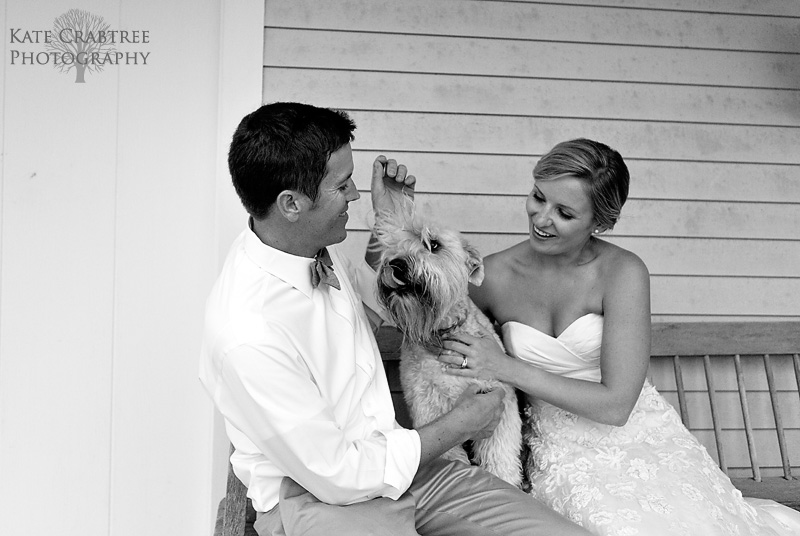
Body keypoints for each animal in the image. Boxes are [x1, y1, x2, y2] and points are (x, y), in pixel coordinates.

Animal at [374, 211, 524, 488]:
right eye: (394, 243)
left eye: (433, 244)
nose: (396, 264)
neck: (441, 334)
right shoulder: (432, 411)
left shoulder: (502, 410)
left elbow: (501, 460)